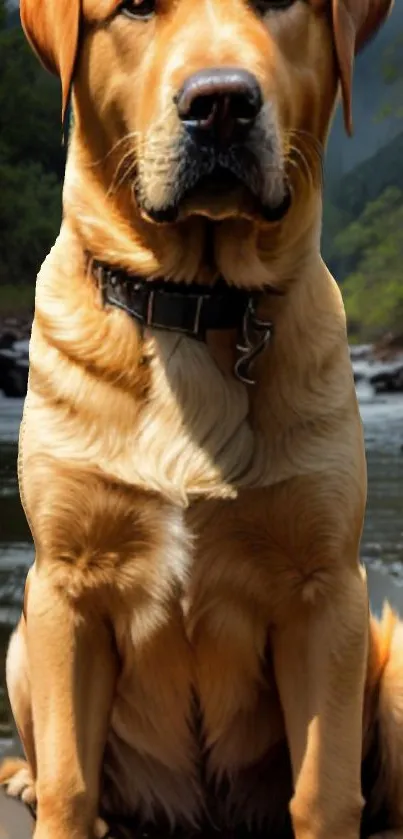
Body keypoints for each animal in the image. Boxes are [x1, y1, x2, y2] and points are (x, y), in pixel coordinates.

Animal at [0, 0, 398, 836]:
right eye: (135, 7)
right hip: (20, 644)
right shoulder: (64, 589)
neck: (195, 301)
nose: (220, 104)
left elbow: (323, 789)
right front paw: (53, 799)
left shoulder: (325, 592)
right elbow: (71, 781)